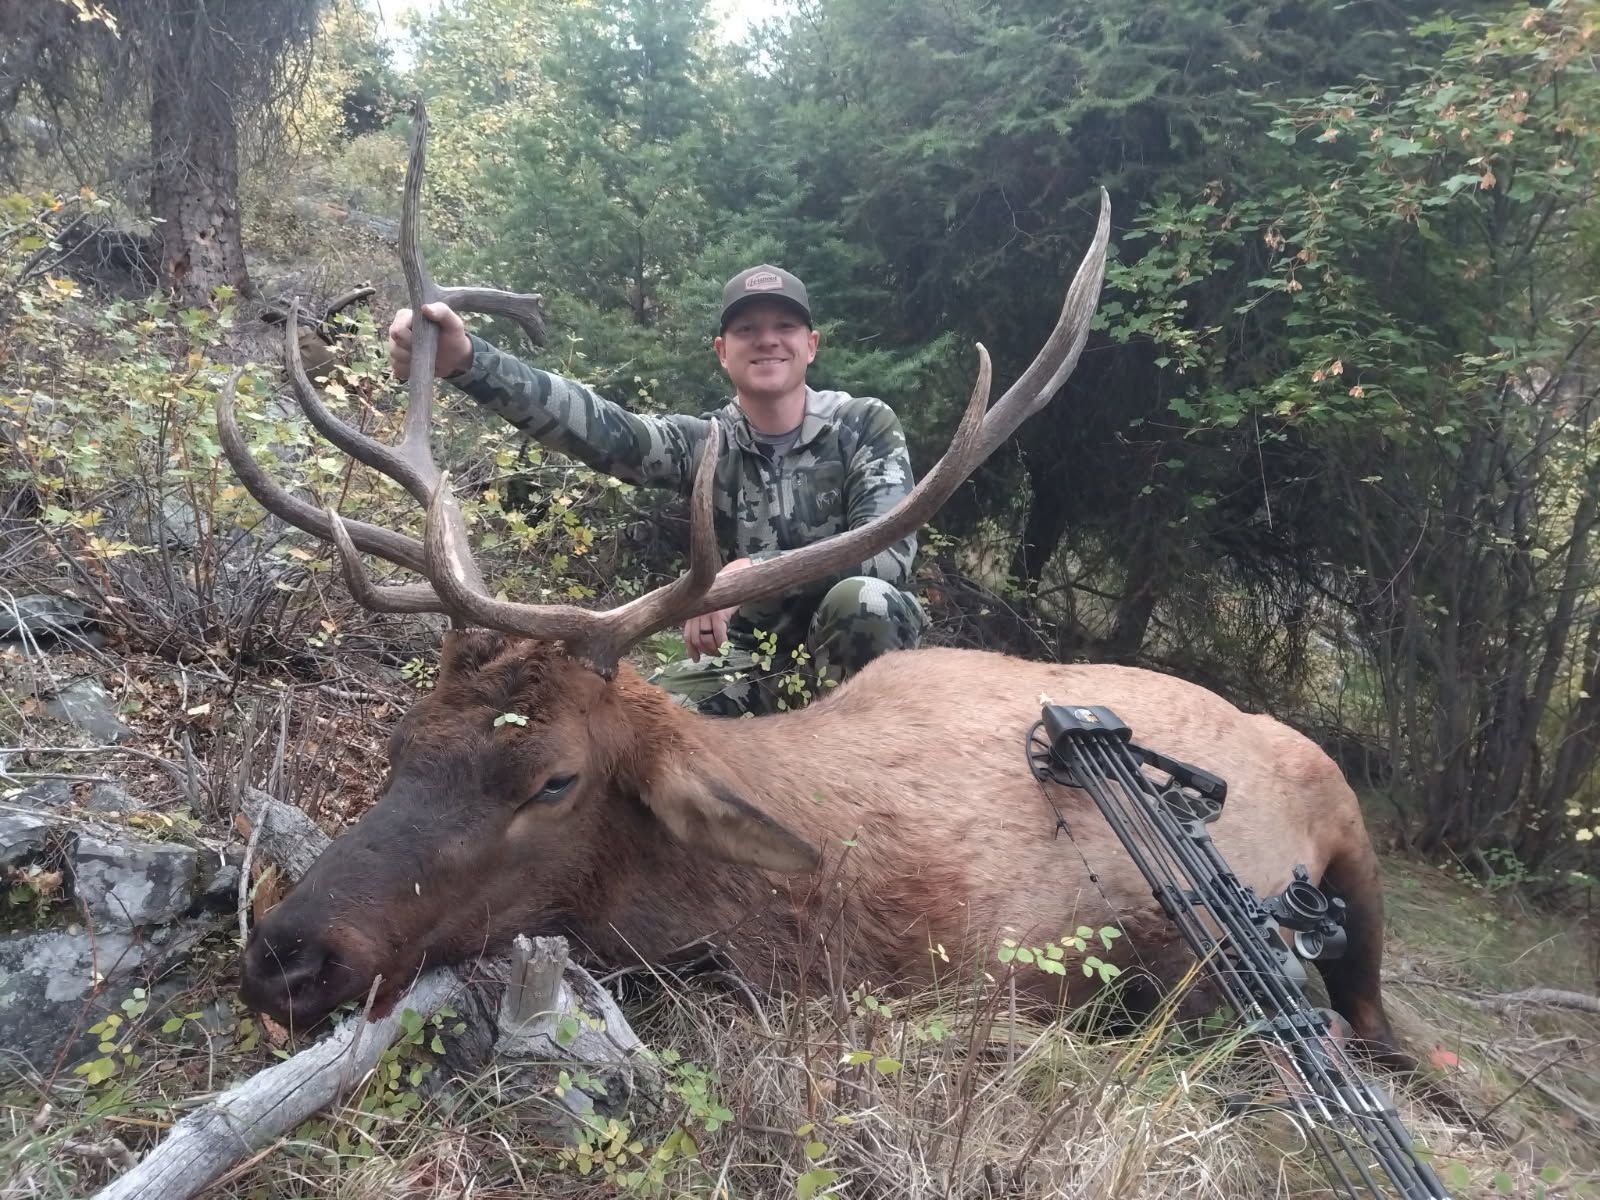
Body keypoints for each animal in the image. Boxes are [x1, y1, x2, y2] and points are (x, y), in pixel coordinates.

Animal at [223, 101, 1410, 1073]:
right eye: (400, 744)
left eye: (553, 781)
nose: (287, 954)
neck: (817, 907)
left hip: (1355, 837)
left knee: (1371, 1008)